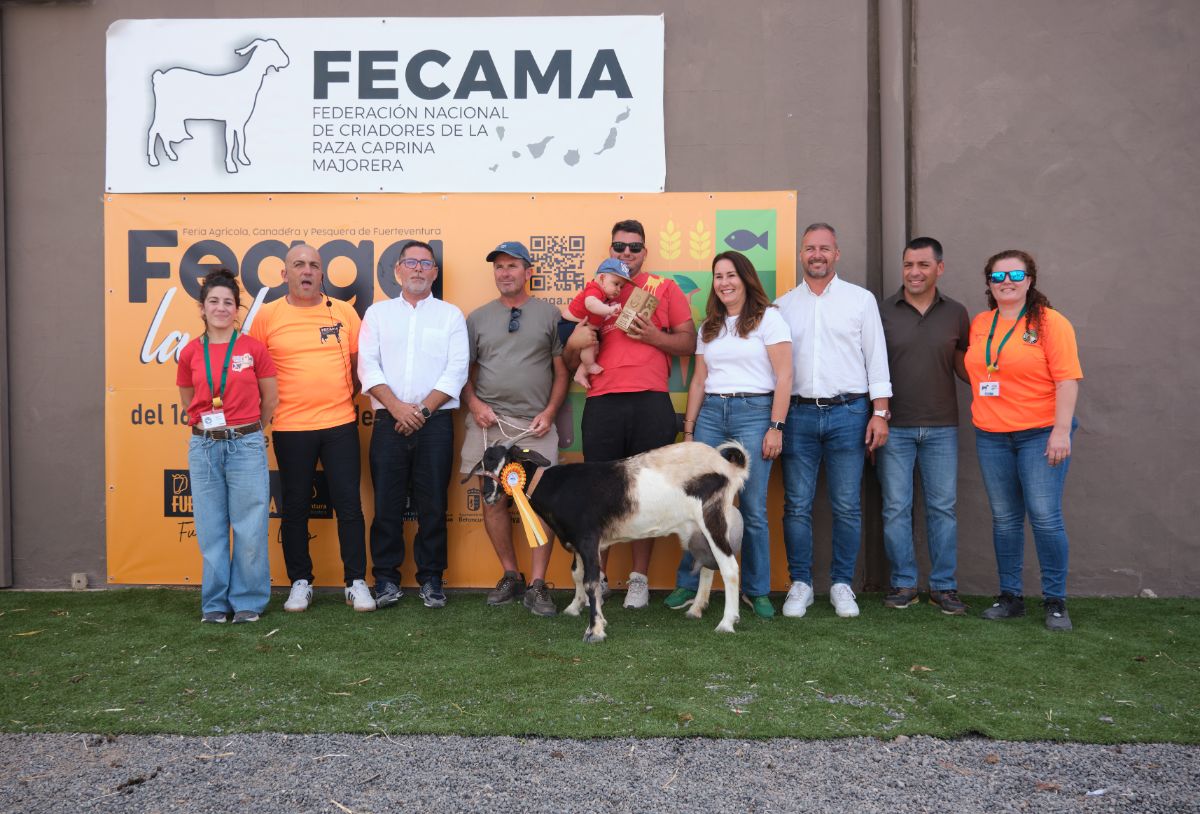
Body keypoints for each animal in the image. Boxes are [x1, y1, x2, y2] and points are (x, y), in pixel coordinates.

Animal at [146, 38, 290, 174]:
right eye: (272, 49)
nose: (286, 61)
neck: (245, 81)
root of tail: (159, 76)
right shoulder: (230, 121)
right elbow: (231, 143)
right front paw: (231, 167)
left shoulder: (240, 122)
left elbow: (241, 140)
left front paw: (244, 160)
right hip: (163, 110)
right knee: (153, 131)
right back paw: (153, 160)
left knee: (163, 132)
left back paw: (171, 155)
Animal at [470, 441, 748, 642]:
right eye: (483, 463)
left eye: (500, 462)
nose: (486, 495)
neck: (557, 487)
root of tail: (731, 468)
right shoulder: (578, 542)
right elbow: (576, 574)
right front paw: (574, 608)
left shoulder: (588, 538)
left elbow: (591, 581)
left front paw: (594, 630)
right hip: (696, 530)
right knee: (709, 567)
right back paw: (696, 609)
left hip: (712, 518)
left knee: (730, 568)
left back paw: (726, 623)